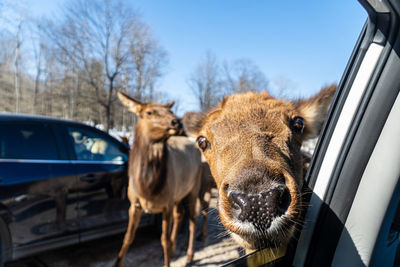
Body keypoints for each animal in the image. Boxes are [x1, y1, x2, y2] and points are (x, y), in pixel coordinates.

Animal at [115, 92, 203, 267]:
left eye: (170, 110)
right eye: (149, 112)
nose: (177, 122)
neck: (148, 188)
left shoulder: (166, 205)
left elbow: (164, 240)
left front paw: (167, 260)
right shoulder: (134, 204)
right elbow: (128, 238)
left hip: (194, 187)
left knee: (192, 218)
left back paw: (189, 255)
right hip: (178, 194)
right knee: (180, 213)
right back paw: (175, 249)